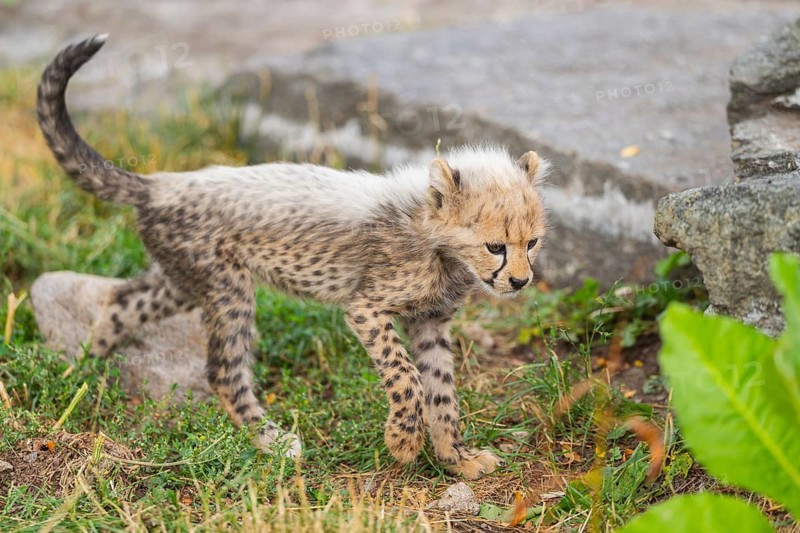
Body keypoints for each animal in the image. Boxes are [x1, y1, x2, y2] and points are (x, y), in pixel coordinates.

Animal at [36, 34, 549, 479]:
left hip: (185, 279)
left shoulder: (431, 322)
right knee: (223, 371)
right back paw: (271, 438)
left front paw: (456, 457)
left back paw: (82, 369)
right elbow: (407, 375)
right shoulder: (365, 308)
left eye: (532, 243)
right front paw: (404, 442)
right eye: (495, 246)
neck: (437, 243)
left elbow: (442, 391)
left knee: (121, 301)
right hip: (229, 288)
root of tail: (160, 182)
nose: (520, 281)